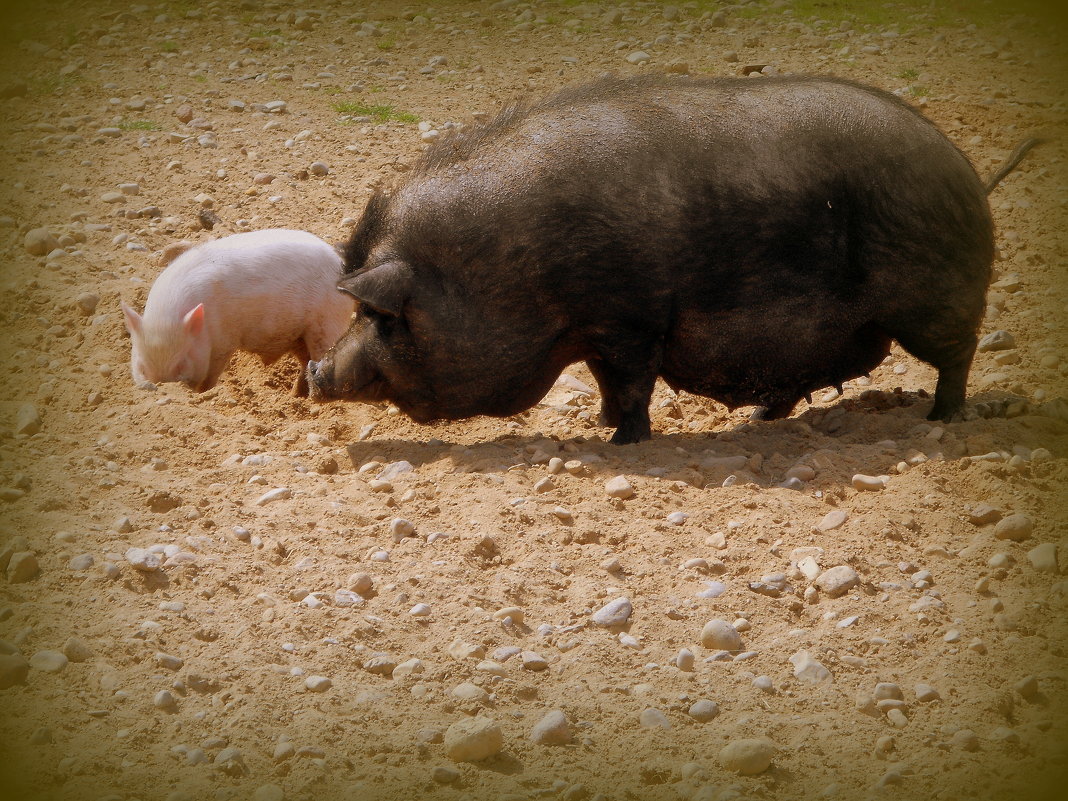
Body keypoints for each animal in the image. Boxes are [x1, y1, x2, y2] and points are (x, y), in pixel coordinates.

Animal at [311, 75, 1033, 446]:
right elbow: (607, 384)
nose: (315, 372)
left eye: (382, 316)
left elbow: (633, 384)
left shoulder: (628, 320)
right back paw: (755, 420)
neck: (506, 268)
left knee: (960, 356)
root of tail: (967, 171)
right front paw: (601, 425)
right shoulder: (599, 332)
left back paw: (942, 420)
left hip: (933, 300)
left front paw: (622, 443)